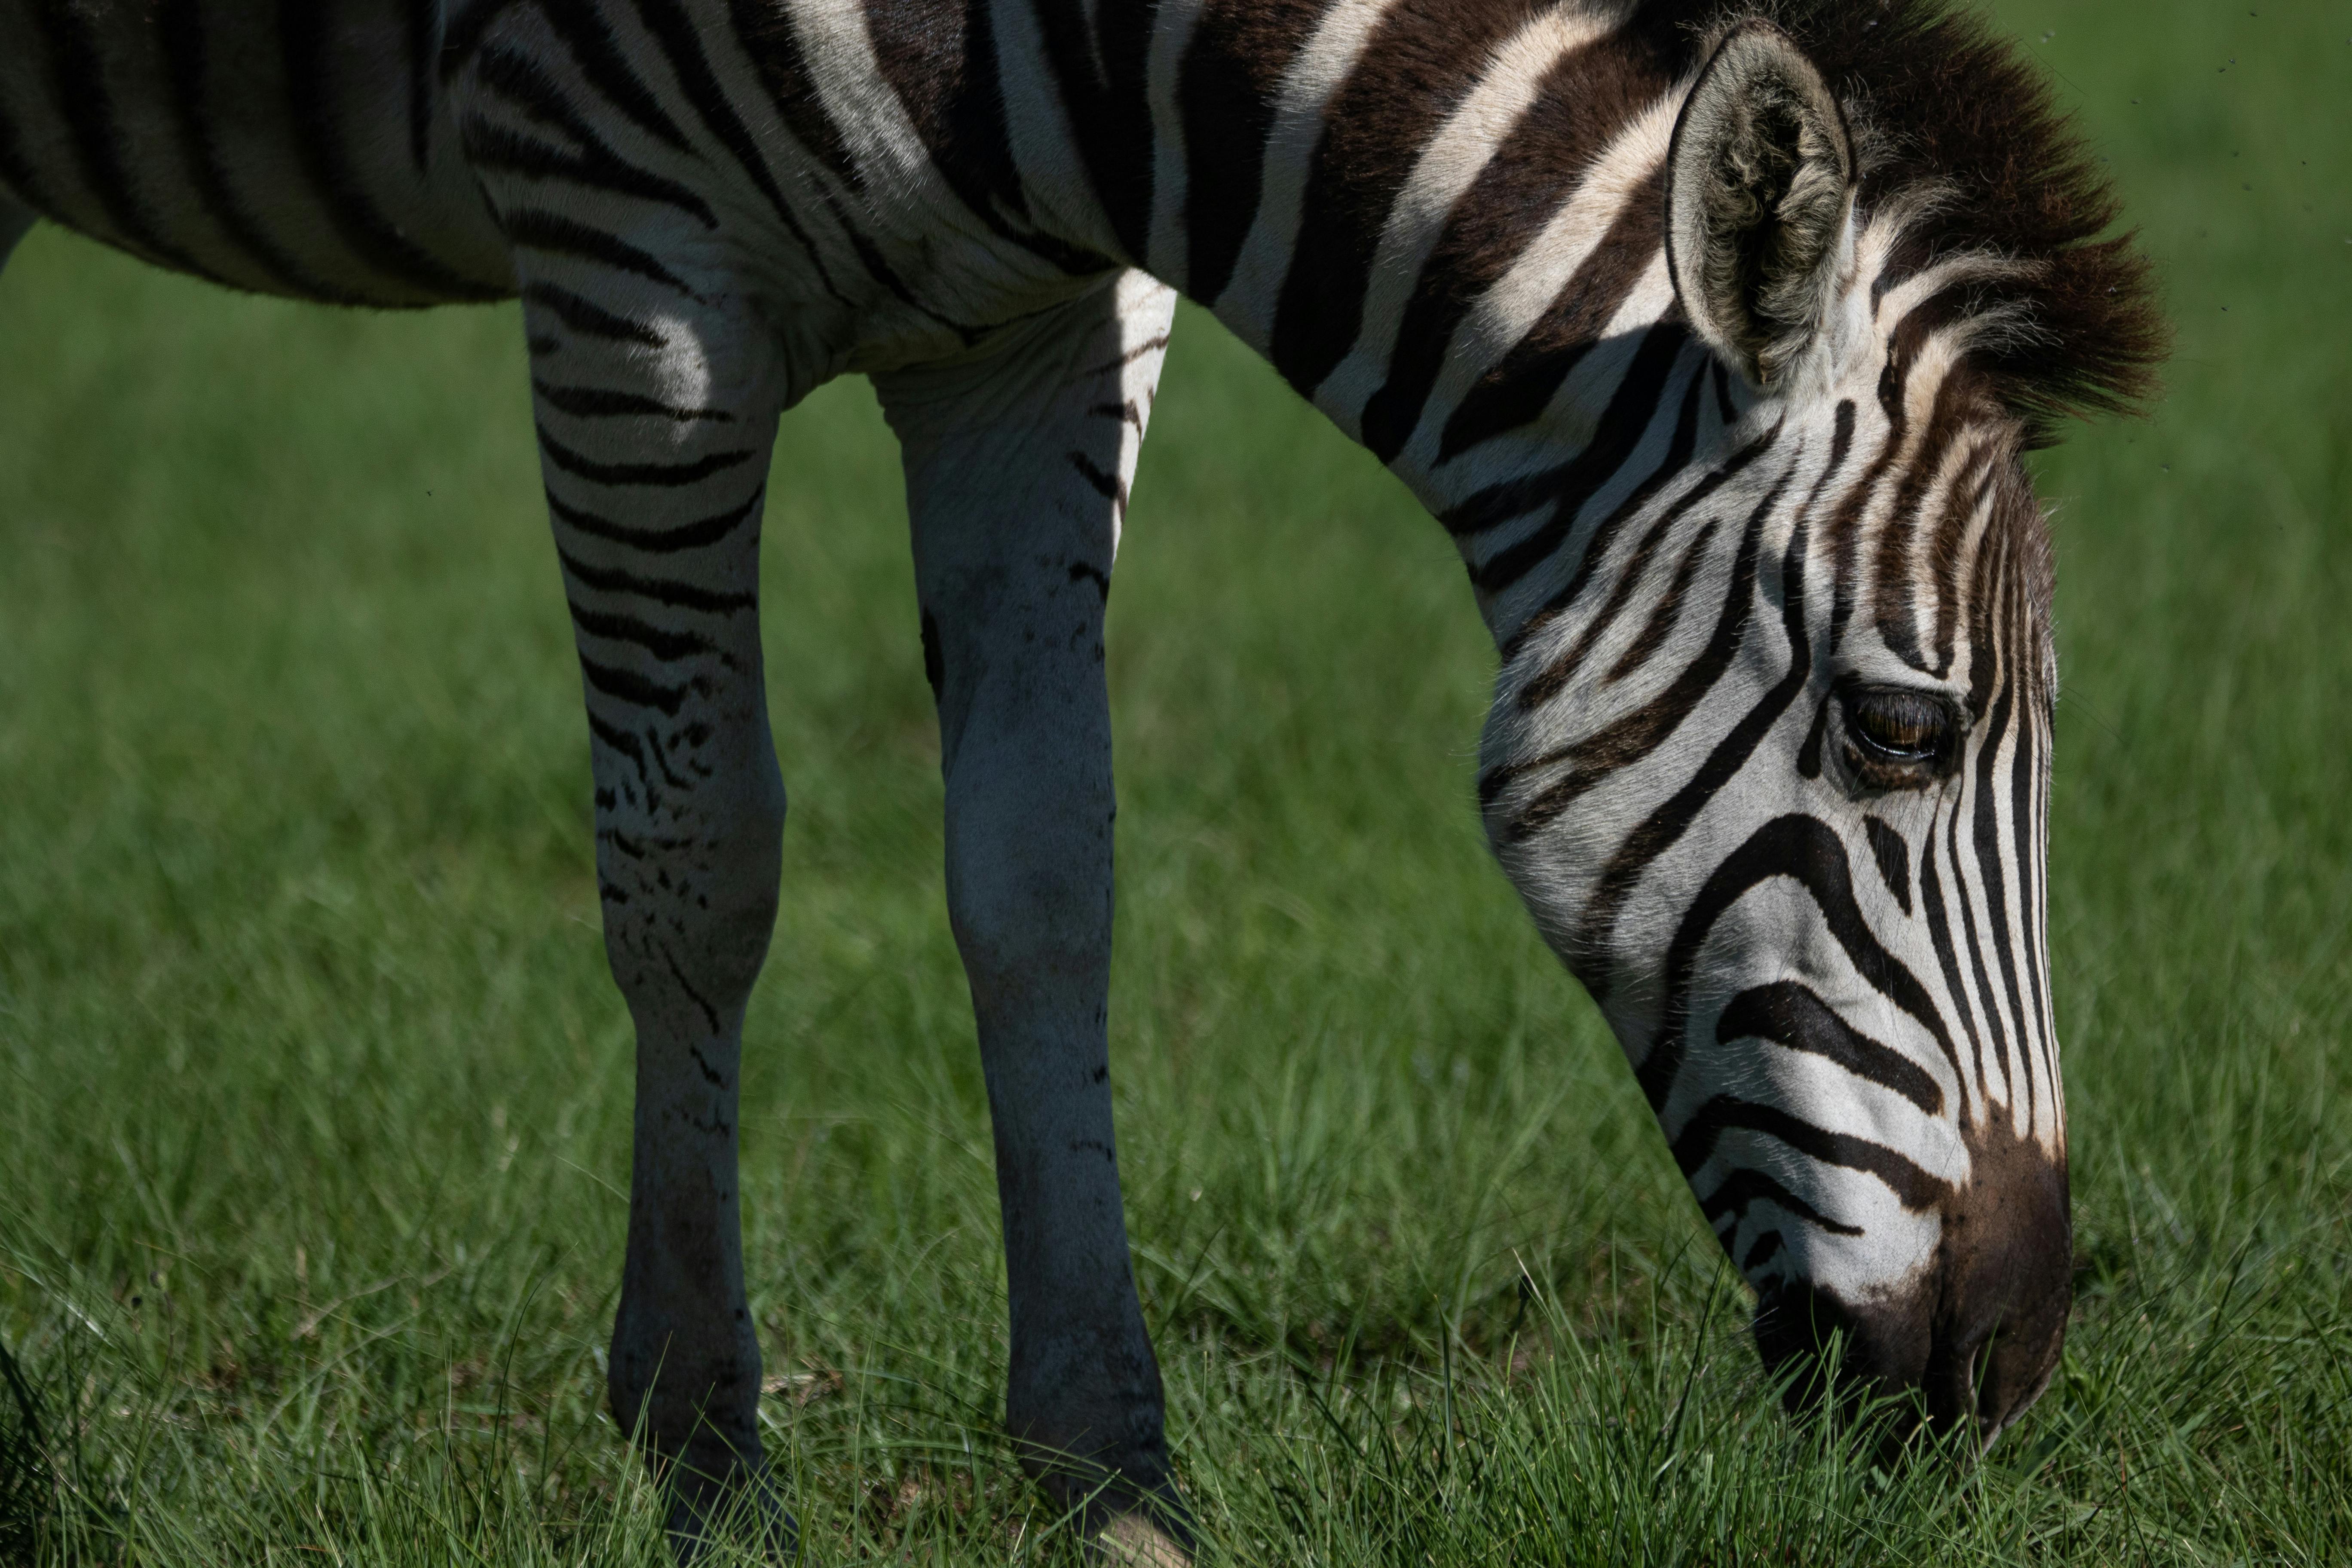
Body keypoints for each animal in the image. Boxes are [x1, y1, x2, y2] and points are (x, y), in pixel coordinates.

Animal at [0, 0, 2154, 1561]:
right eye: (1898, 730)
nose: (2014, 1359)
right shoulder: (627, 259)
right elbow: (698, 867)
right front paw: (703, 1460)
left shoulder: (1033, 325)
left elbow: (1046, 879)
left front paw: (1114, 1480)